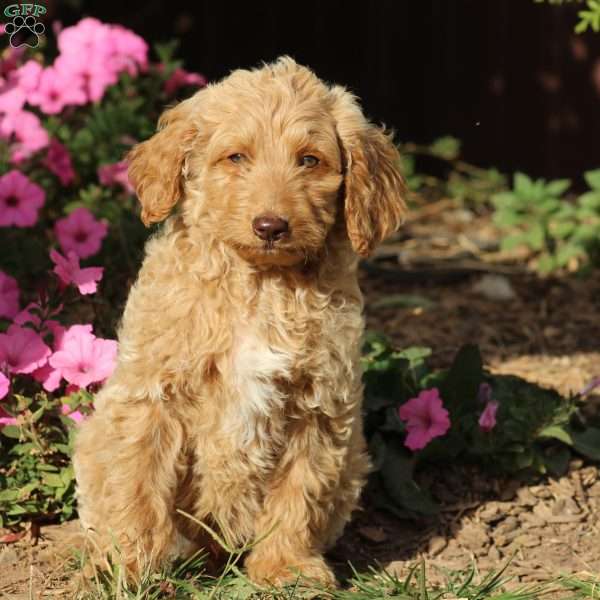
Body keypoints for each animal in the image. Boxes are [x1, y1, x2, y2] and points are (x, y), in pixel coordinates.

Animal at [72, 57, 406, 584]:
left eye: (309, 160)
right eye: (235, 158)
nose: (271, 226)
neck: (260, 285)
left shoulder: (319, 405)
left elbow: (299, 492)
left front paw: (287, 567)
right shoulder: (153, 395)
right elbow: (138, 483)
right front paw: (132, 564)